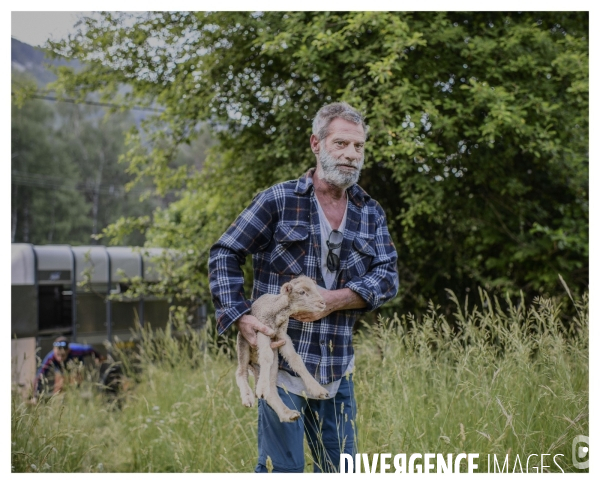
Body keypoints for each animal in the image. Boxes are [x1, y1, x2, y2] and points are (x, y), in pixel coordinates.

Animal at [234, 278, 328, 422]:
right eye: (302, 292)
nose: (323, 303)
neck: (279, 313)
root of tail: (253, 363)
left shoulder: (282, 336)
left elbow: (295, 359)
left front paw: (318, 389)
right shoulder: (263, 330)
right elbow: (266, 356)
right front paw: (261, 389)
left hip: (274, 362)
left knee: (272, 387)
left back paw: (288, 414)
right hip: (243, 342)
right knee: (240, 372)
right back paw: (248, 397)